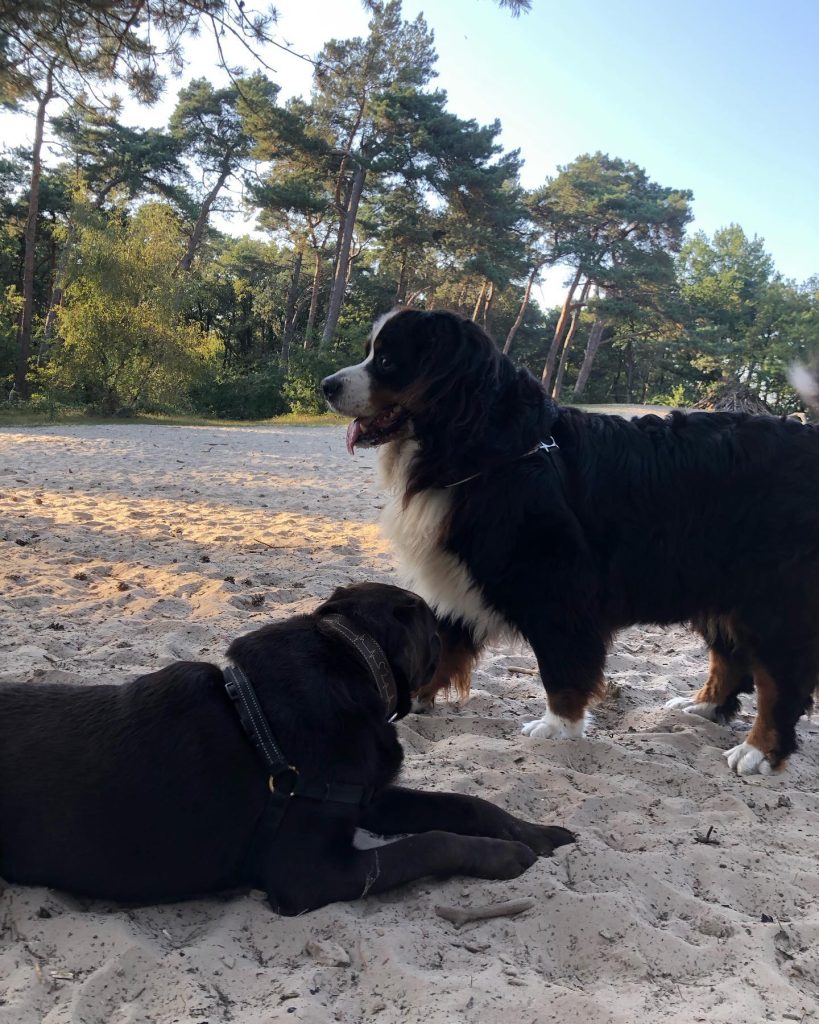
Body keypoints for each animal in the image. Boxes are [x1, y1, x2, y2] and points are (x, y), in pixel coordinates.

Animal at [0, 581, 573, 917]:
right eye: (436, 627)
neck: (351, 657)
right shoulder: (312, 873)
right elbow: (429, 843)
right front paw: (505, 855)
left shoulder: (366, 797)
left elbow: (465, 803)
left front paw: (535, 833)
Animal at [321, 303, 819, 774]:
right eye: (370, 352)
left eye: (387, 360)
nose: (327, 384)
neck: (493, 452)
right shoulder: (462, 575)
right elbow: (441, 645)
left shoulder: (553, 585)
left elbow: (562, 666)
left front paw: (558, 727)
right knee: (730, 658)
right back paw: (702, 706)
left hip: (771, 601)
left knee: (781, 683)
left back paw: (758, 750)